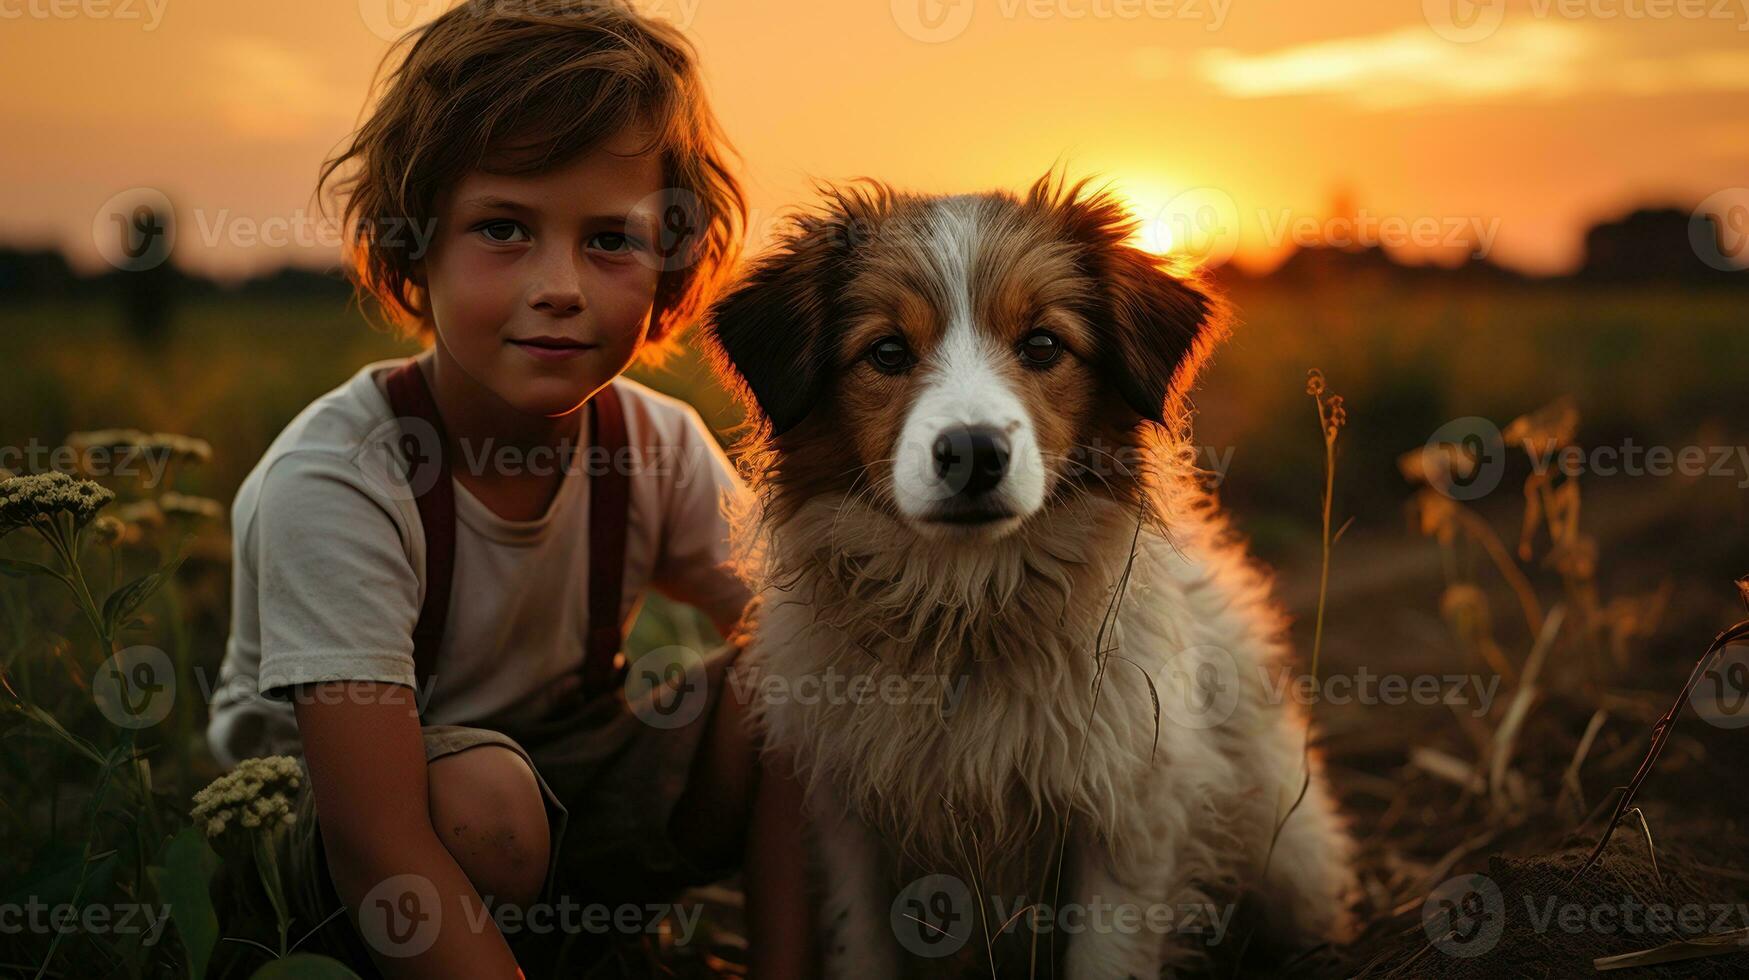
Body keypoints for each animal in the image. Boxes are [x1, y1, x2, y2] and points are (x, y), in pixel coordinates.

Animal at [703, 172, 1357, 973]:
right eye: (886, 351)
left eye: (1043, 344)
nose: (973, 451)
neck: (965, 617)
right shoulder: (848, 822)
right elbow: (863, 947)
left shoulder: (1126, 814)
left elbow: (1103, 956)